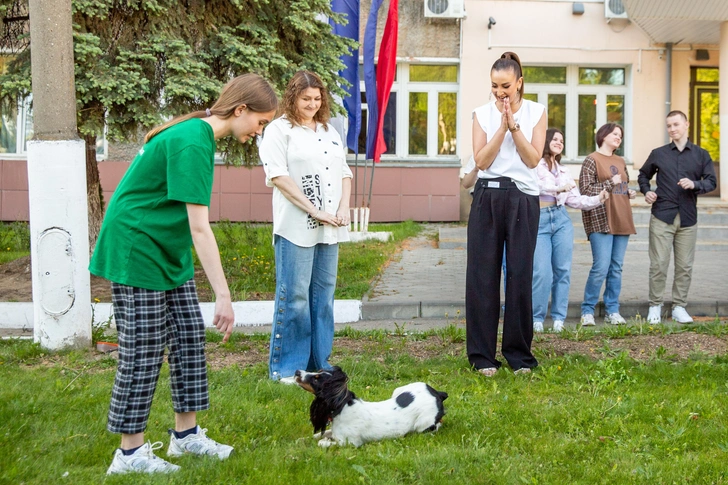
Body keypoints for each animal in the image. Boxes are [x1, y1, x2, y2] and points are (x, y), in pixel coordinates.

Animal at [292, 366, 446, 446]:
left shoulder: (350, 443)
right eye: (317, 371)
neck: (342, 407)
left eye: (316, 379)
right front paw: (302, 440)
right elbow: (319, 435)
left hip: (423, 424)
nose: (297, 372)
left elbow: (323, 442)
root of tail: (438, 393)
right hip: (398, 390)